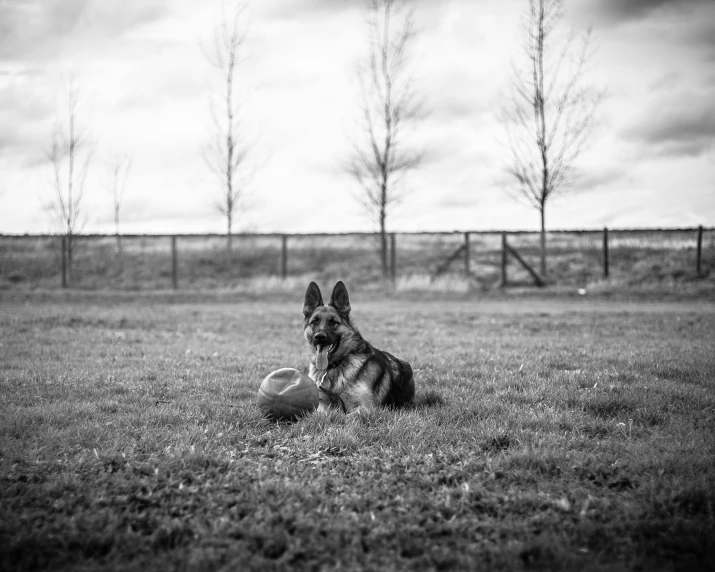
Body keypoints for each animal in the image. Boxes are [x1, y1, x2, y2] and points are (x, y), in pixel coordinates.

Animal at [300, 280, 414, 412]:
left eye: (333, 322)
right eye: (315, 321)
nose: (319, 337)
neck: (333, 367)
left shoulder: (366, 408)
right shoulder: (322, 406)